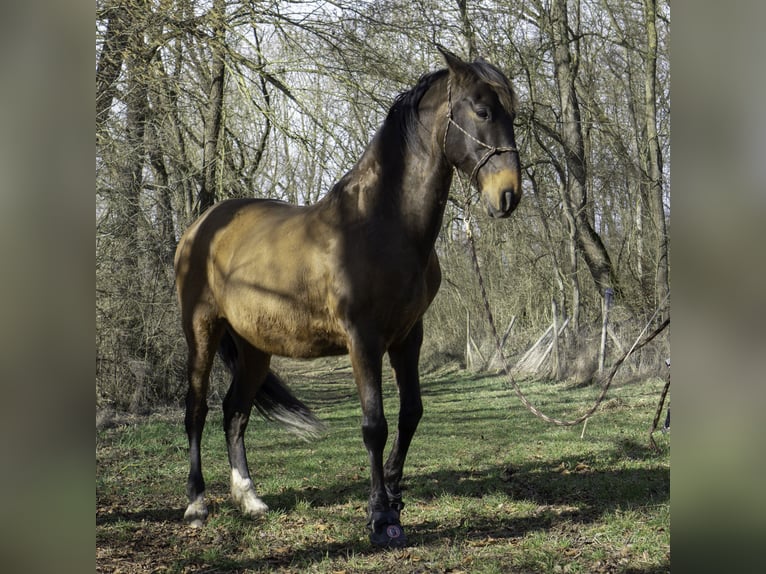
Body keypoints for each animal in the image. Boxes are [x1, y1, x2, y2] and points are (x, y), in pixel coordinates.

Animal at [173, 46, 521, 548]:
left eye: (513, 113)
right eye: (482, 111)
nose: (508, 195)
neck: (381, 224)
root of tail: (202, 226)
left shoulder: (408, 337)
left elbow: (411, 413)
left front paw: (394, 492)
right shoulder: (363, 340)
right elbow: (374, 425)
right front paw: (381, 517)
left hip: (254, 347)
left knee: (235, 412)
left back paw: (250, 499)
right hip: (201, 329)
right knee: (198, 408)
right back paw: (197, 503)